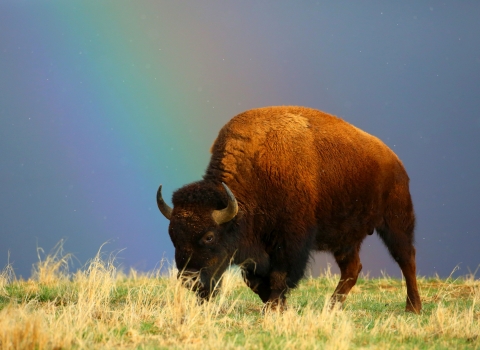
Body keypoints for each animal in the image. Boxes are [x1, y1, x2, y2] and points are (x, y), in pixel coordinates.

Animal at [157, 105, 420, 314]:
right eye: (173, 235)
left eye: (209, 236)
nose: (189, 281)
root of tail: (395, 162)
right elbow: (255, 281)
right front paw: (276, 305)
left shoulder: (290, 242)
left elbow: (279, 276)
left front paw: (275, 307)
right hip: (345, 239)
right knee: (352, 269)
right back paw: (331, 307)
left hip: (395, 222)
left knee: (406, 258)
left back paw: (413, 307)